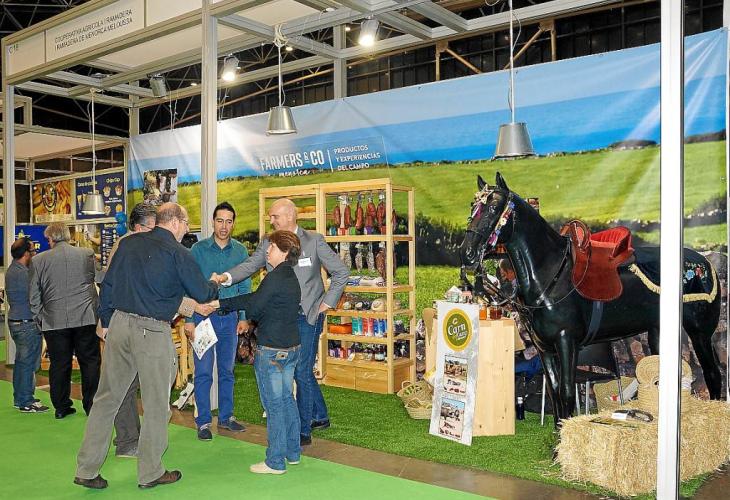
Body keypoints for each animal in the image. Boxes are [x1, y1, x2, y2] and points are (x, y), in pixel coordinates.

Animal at [460, 172, 722, 425]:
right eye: (473, 206)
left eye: (494, 207)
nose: (467, 254)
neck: (551, 274)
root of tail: (703, 263)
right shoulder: (544, 348)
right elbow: (555, 395)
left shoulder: (566, 341)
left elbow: (566, 393)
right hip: (657, 331)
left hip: (699, 333)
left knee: (713, 373)